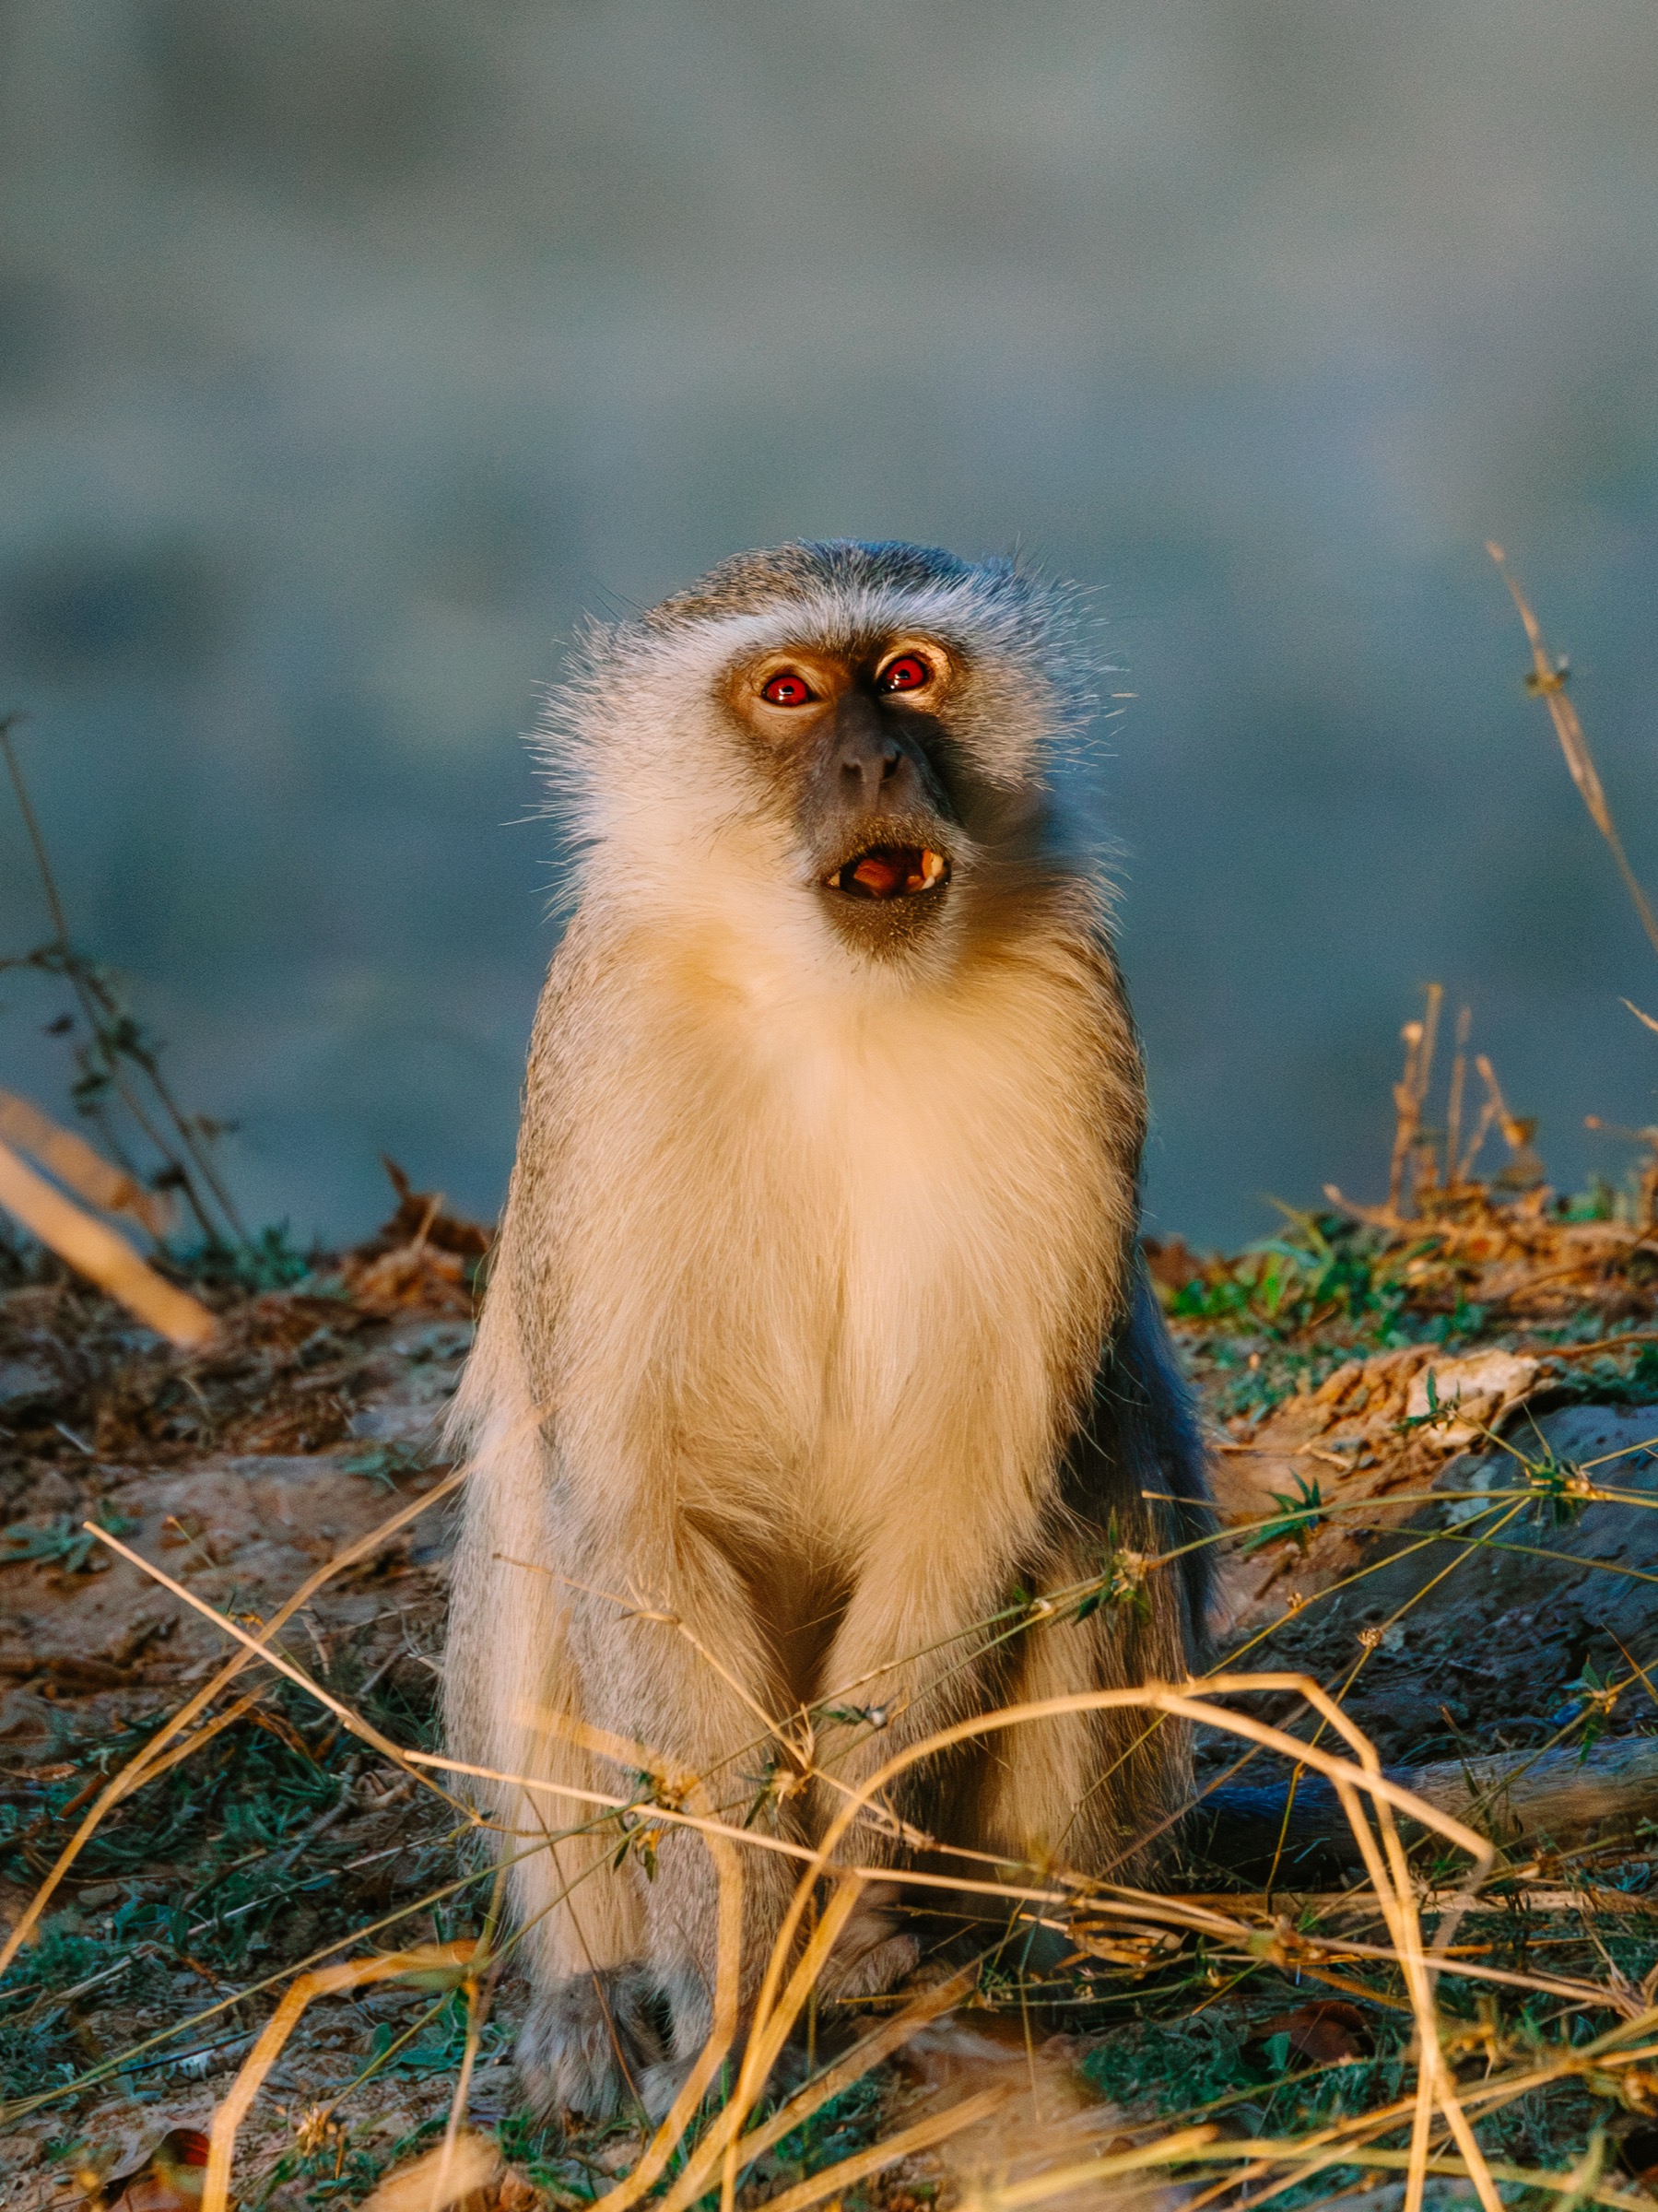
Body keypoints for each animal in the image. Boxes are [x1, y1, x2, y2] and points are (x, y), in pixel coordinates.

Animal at [444, 539, 1214, 2122]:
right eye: (790, 693)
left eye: (908, 674)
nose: (875, 760)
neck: (834, 996)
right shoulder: (606, 1042)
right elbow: (634, 1511)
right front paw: (726, 1962)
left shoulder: (1071, 1023)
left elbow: (970, 1495)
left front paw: (842, 1918)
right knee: (541, 1503)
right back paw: (589, 1990)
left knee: (1100, 1462)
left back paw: (1039, 1948)